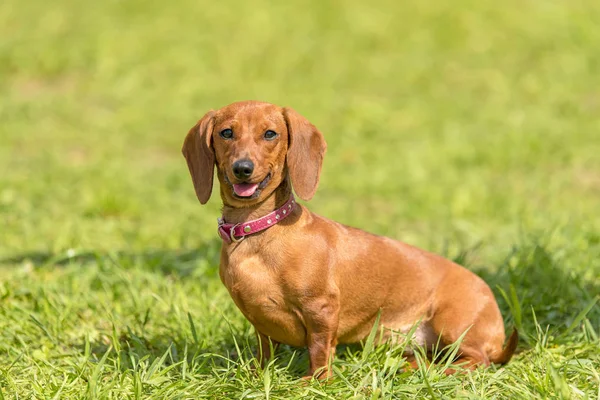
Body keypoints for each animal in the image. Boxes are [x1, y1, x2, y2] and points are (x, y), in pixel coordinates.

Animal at [182, 100, 516, 378]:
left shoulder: (322, 310)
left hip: (453, 322)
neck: (256, 232)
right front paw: (256, 374)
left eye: (270, 134)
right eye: (226, 132)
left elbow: (319, 350)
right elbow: (264, 351)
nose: (242, 168)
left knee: (477, 359)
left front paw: (314, 382)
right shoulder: (259, 322)